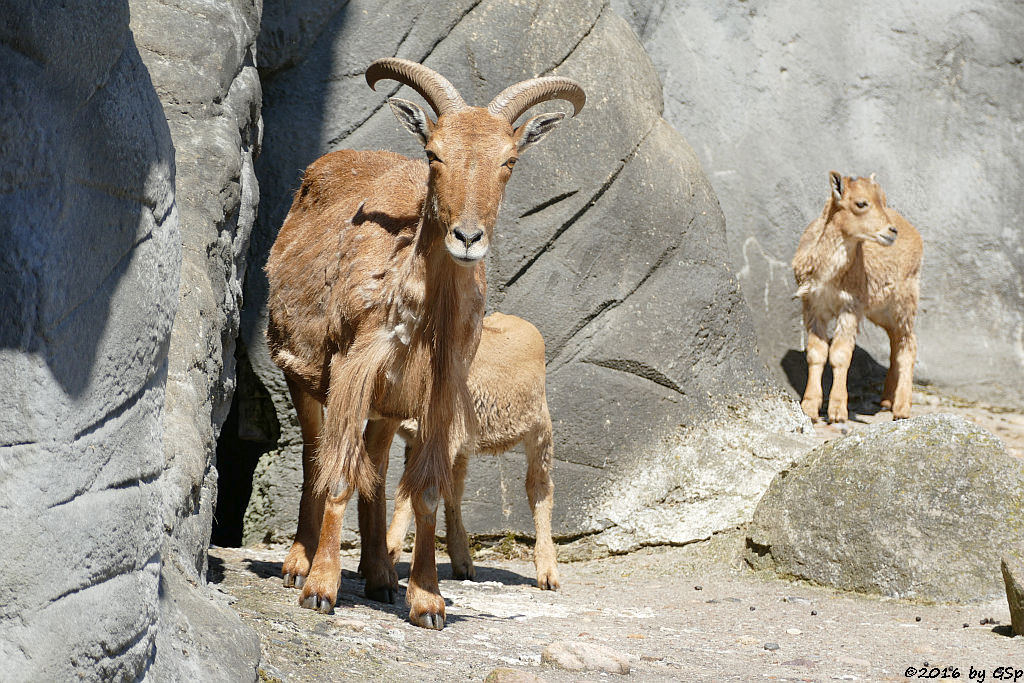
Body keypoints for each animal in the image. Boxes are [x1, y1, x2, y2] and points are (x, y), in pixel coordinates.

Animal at [264, 58, 585, 630]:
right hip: (299, 372)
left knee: (376, 469)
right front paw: (321, 589)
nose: (468, 237)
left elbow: (428, 490)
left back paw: (379, 575)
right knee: (315, 459)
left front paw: (427, 599)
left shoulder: (439, 393)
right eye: (434, 153)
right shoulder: (352, 369)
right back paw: (299, 563)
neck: (421, 309)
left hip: (388, 409)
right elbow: (339, 475)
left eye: (508, 160)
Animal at [786, 171, 925, 423]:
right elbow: (817, 353)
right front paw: (809, 407)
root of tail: (914, 232)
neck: (829, 274)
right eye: (861, 203)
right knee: (895, 342)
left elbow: (840, 354)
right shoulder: (813, 306)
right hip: (882, 310)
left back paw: (901, 408)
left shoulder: (850, 307)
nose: (891, 231)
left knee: (909, 344)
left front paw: (837, 411)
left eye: (883, 201)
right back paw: (887, 399)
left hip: (905, 300)